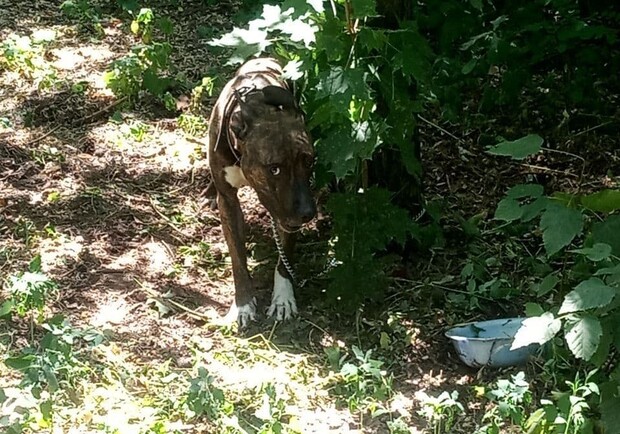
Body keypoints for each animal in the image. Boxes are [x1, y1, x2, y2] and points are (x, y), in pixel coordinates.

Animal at [207, 57, 314, 326]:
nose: (308, 212)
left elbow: (284, 258)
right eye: (274, 169)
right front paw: (243, 305)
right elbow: (237, 258)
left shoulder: (283, 213)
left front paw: (283, 298)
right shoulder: (229, 202)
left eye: (310, 161)